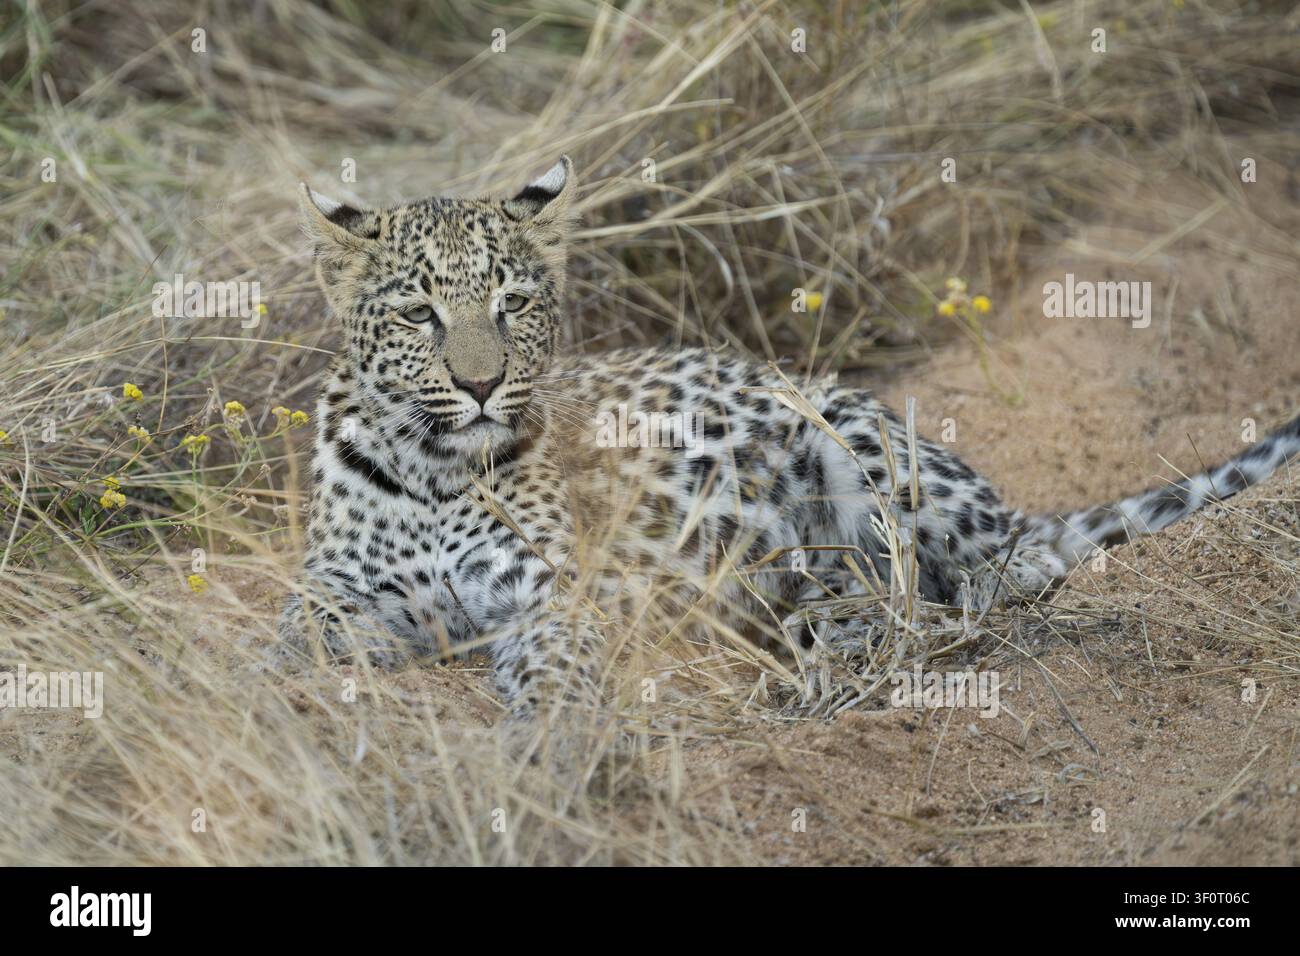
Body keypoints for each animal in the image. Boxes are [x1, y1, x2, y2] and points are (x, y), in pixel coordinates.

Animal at [278, 155, 1300, 712]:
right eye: (418, 314)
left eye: (514, 303)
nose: (482, 385)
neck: (433, 468)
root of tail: (1010, 512)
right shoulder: (336, 584)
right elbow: (297, 636)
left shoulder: (555, 595)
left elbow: (557, 667)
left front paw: (548, 736)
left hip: (860, 441)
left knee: (973, 588)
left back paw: (833, 632)